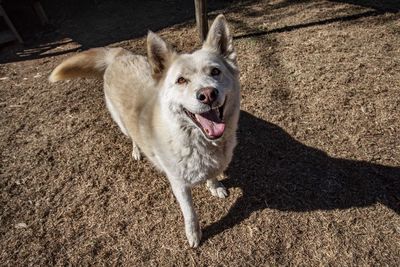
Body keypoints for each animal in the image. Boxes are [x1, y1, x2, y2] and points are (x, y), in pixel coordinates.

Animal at [48, 14, 239, 248]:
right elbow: (190, 214)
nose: (208, 94)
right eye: (181, 80)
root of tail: (119, 55)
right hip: (122, 124)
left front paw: (215, 185)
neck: (196, 140)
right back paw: (137, 152)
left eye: (215, 72)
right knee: (132, 137)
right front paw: (194, 234)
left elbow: (212, 175)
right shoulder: (179, 184)